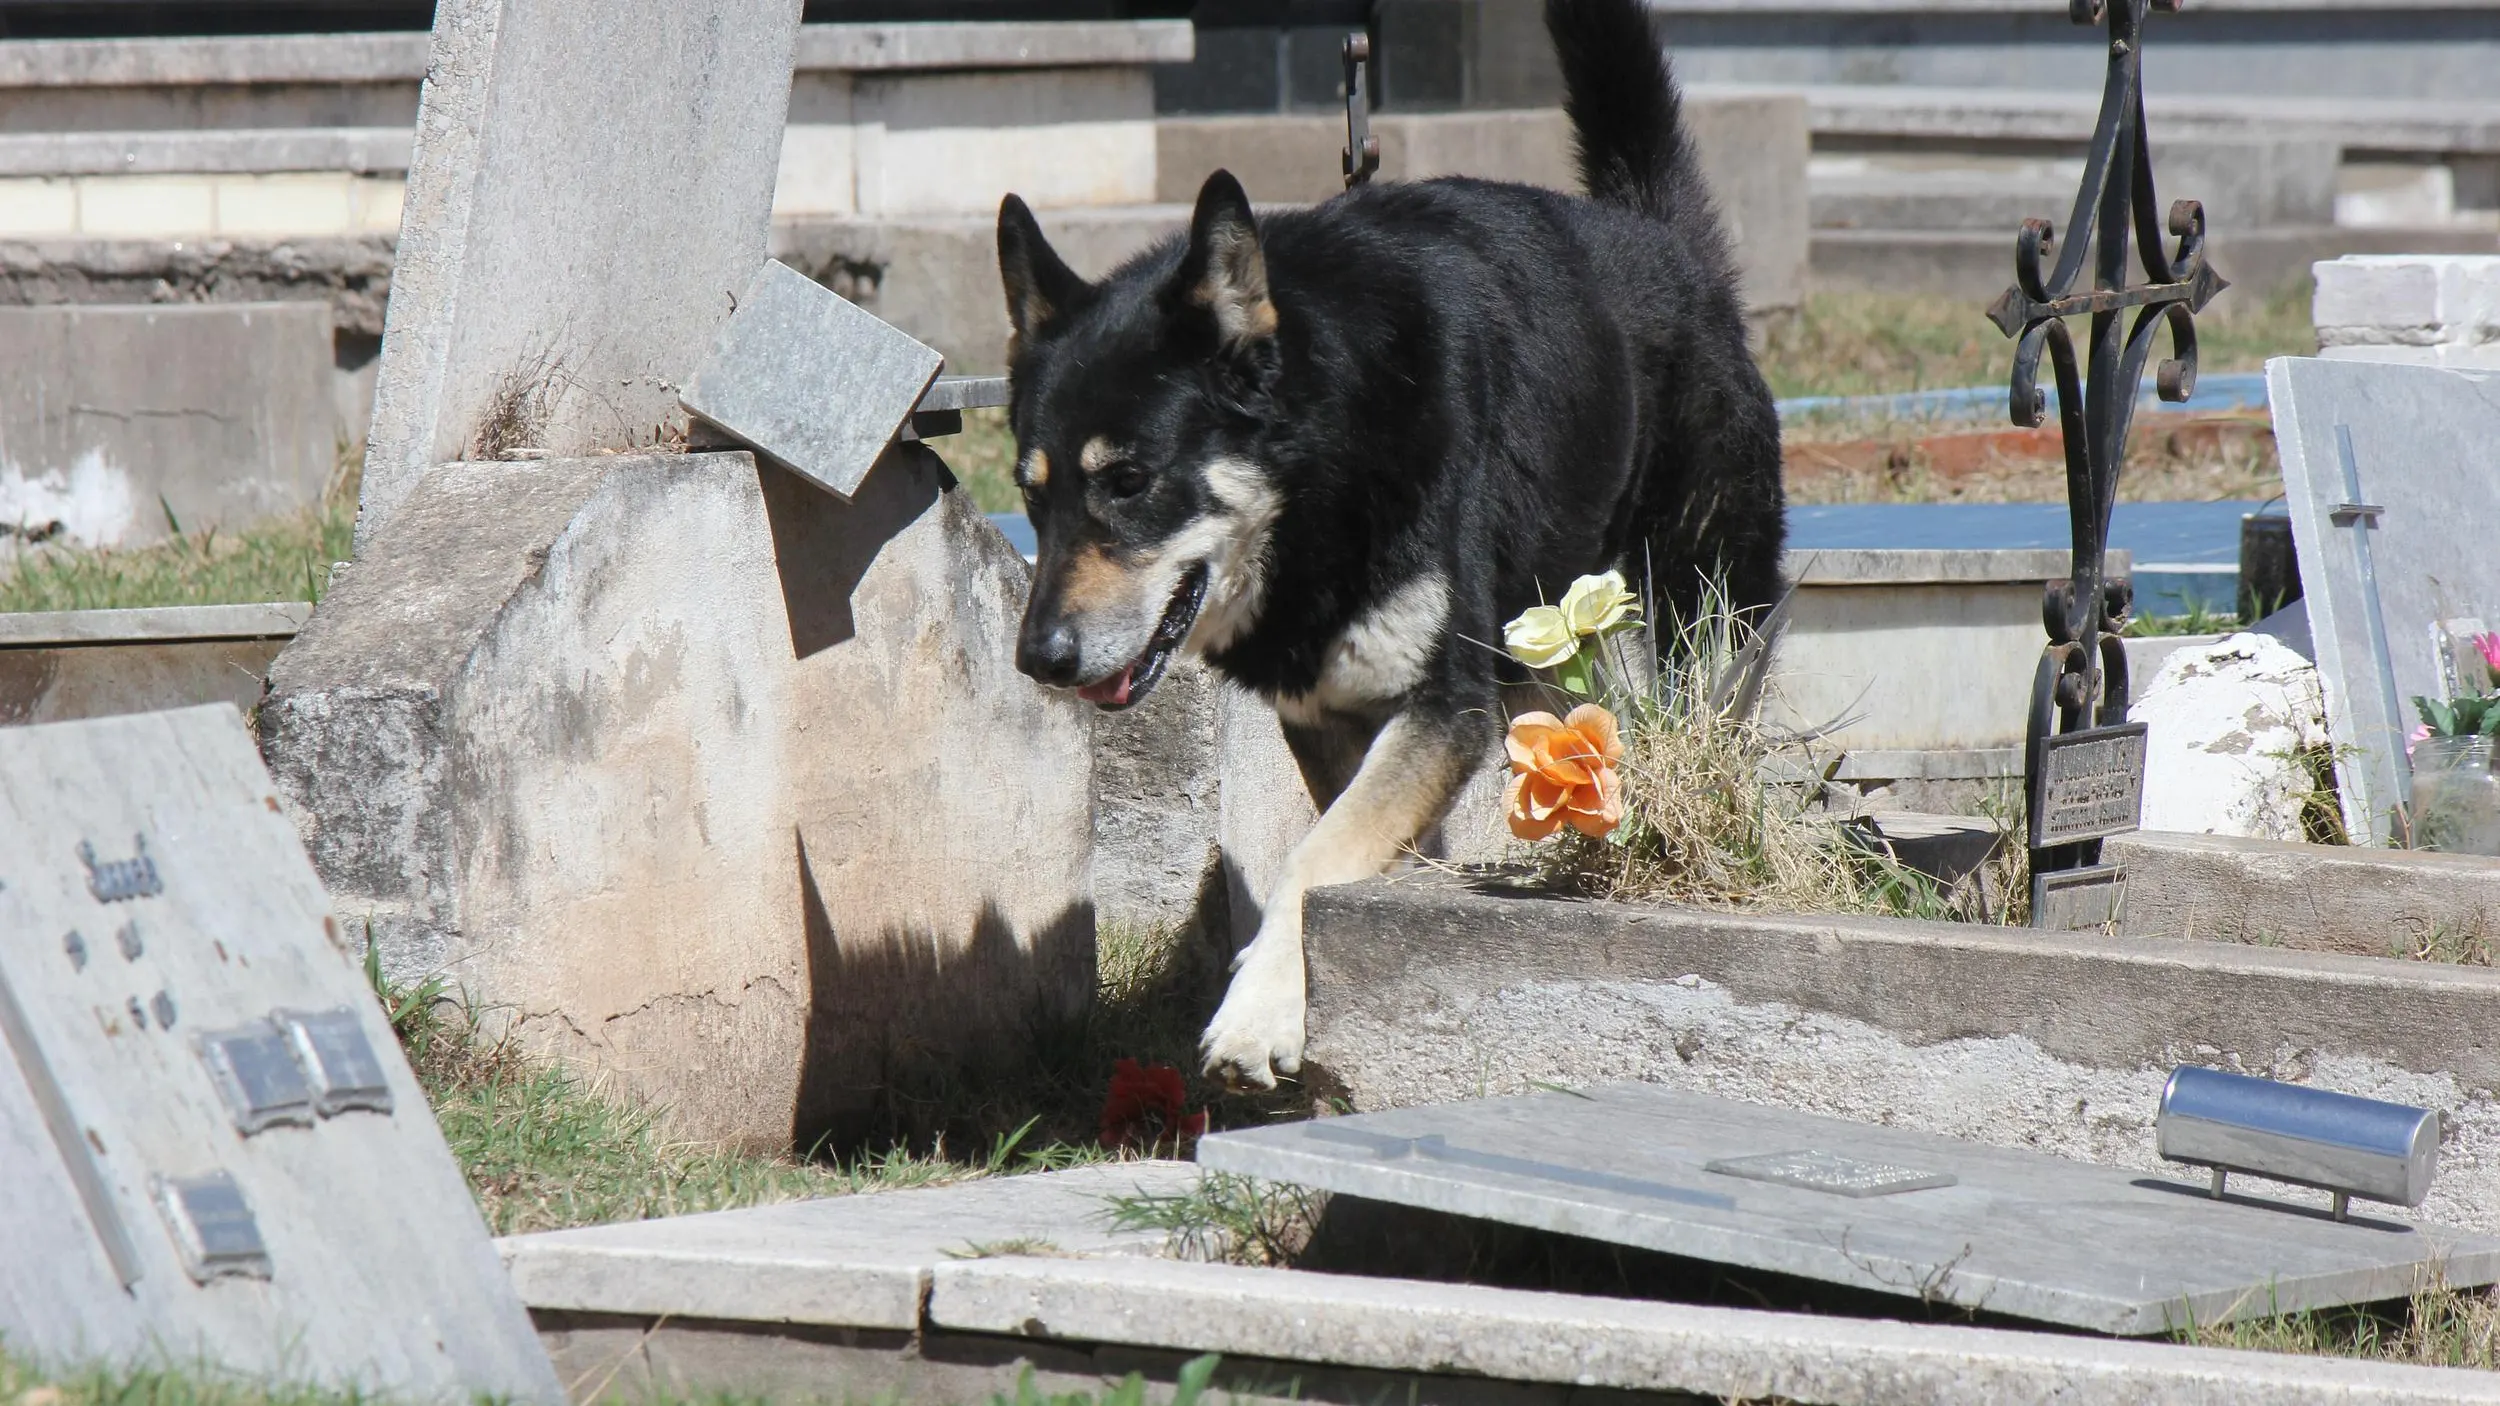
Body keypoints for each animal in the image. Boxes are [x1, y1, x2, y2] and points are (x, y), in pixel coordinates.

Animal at [990, 0, 1780, 1090]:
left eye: (1128, 481)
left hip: (1702, 617)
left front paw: (1258, 1011)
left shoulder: (1439, 704)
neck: (1328, 465)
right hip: (1534, 656)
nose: (1039, 659)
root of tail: (1659, 235)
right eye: (1033, 495)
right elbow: (1356, 845)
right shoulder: (1337, 713)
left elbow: (1312, 855)